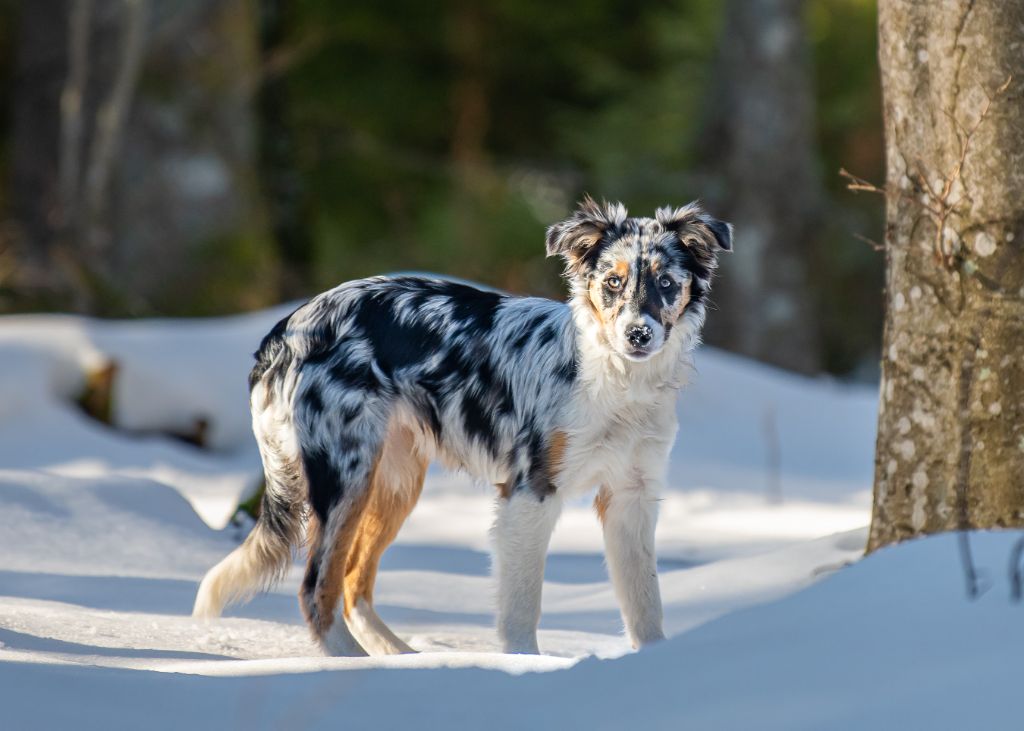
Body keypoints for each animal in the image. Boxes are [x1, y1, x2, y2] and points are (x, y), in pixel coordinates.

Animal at [192, 195, 733, 655]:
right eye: (613, 282)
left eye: (666, 283)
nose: (638, 334)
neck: (616, 381)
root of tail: (286, 330)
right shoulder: (530, 493)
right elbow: (521, 608)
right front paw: (524, 668)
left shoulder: (630, 497)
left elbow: (645, 604)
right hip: (345, 474)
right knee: (316, 586)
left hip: (394, 480)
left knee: (351, 584)